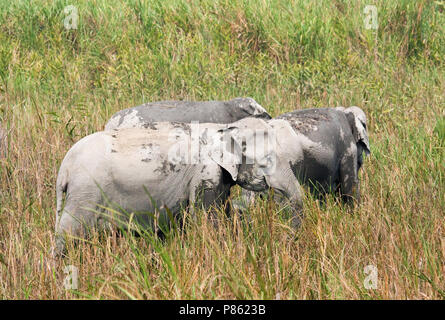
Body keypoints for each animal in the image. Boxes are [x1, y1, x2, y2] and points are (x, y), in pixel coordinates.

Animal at [52, 117, 302, 255]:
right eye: (267, 161)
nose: (289, 240)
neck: (224, 127)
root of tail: (64, 167)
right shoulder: (205, 173)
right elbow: (208, 221)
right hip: (86, 193)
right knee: (68, 233)